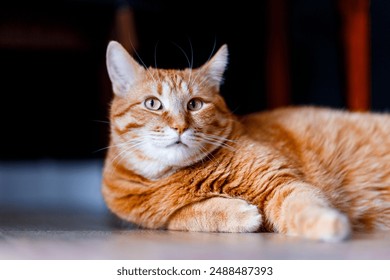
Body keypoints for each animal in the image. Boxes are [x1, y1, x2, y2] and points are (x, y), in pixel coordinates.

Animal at [103, 40, 390, 242]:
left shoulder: (279, 182)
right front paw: (238, 213)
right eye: (153, 103)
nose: (180, 127)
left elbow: (302, 207)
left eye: (194, 104)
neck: (173, 177)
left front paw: (329, 224)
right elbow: (184, 215)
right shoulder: (158, 219)